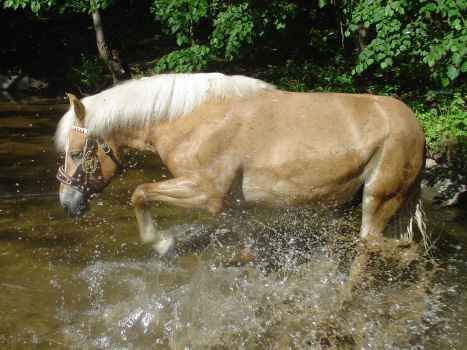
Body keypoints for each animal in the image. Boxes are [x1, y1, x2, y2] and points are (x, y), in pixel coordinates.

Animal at [54, 72, 428, 260]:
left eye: (76, 153)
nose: (66, 204)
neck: (194, 119)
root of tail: (413, 123)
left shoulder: (205, 193)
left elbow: (140, 192)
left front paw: (161, 242)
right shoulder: (235, 208)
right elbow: (250, 255)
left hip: (380, 201)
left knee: (384, 250)